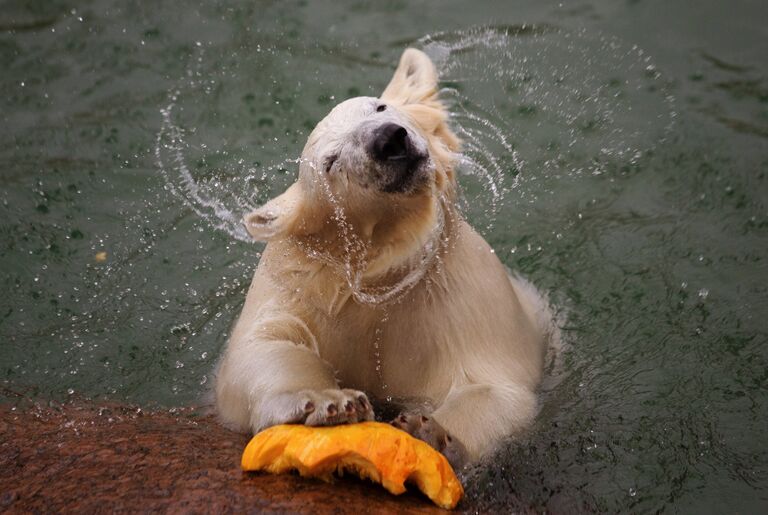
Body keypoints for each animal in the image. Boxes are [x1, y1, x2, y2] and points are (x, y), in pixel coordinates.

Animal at [216, 47, 552, 468]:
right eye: (332, 161)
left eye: (379, 107)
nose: (389, 139)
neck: (383, 273)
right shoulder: (302, 281)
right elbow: (265, 344)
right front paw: (329, 402)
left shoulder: (466, 289)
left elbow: (492, 382)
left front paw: (430, 430)